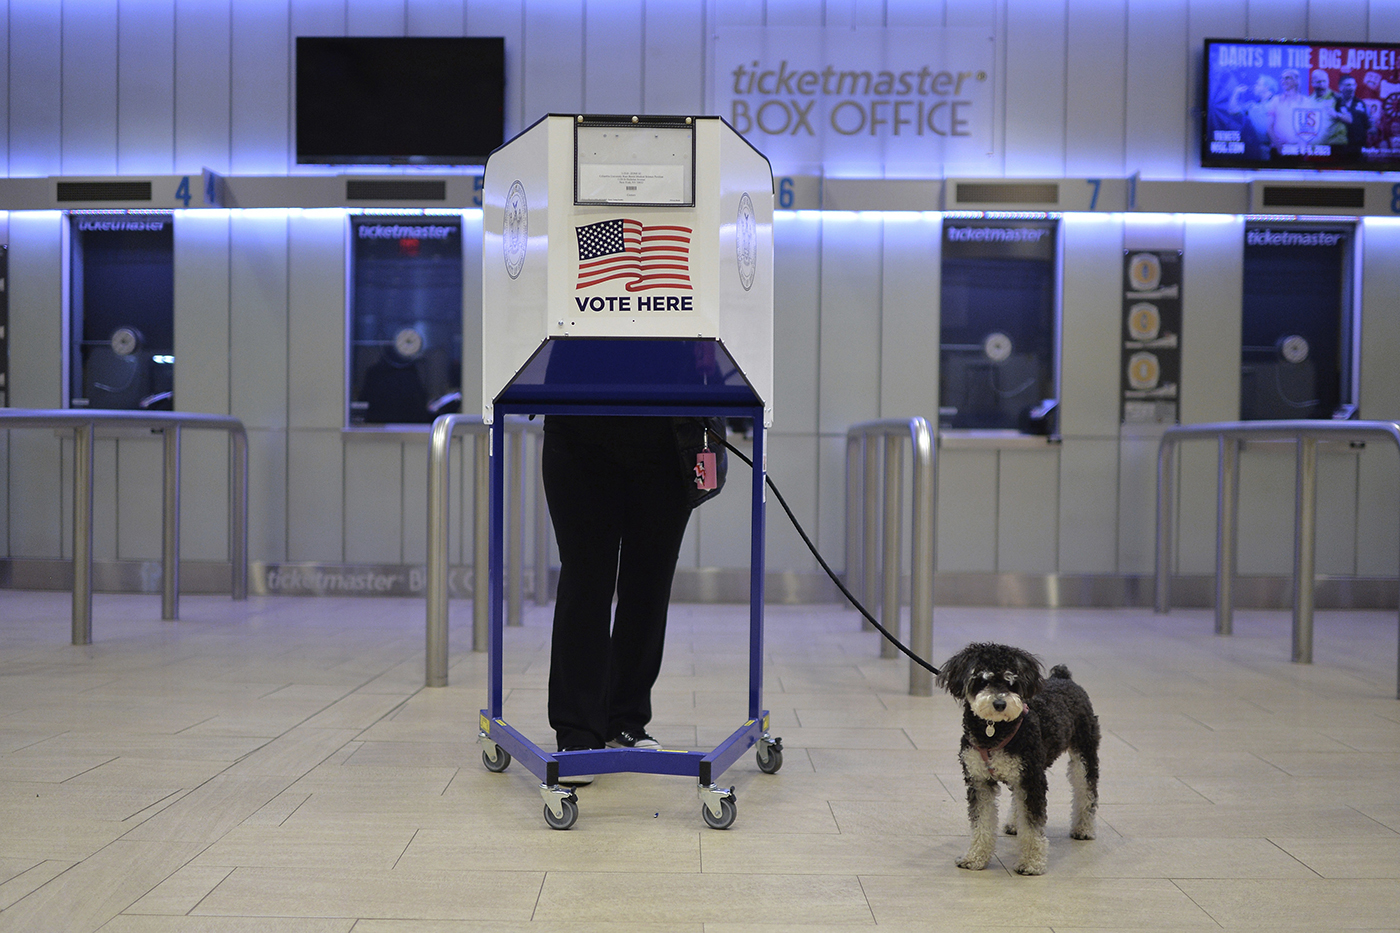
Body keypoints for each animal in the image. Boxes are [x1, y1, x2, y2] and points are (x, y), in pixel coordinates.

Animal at [935, 638, 1097, 874]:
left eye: (1011, 682)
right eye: (982, 681)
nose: (1000, 704)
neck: (994, 731)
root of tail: (1063, 677)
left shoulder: (1032, 780)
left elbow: (1032, 826)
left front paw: (1031, 862)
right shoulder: (980, 780)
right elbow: (982, 823)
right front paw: (975, 857)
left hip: (1084, 753)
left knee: (1086, 791)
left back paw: (1084, 827)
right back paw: (1014, 823)